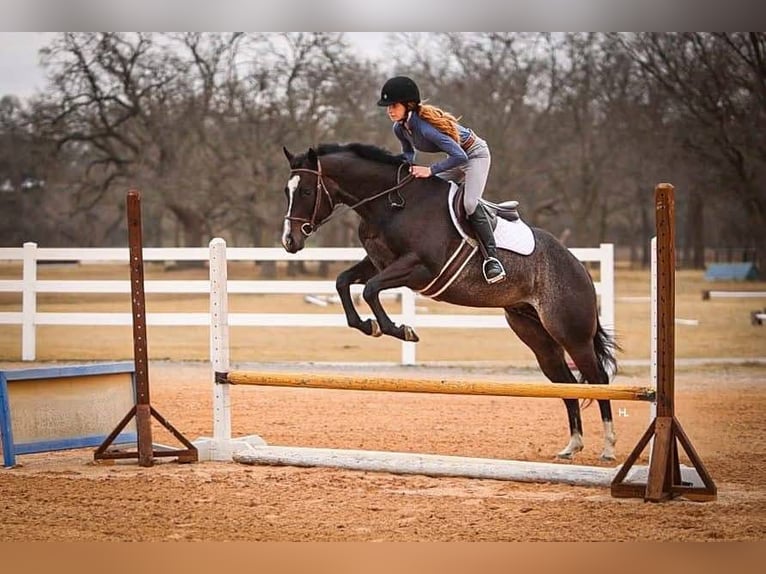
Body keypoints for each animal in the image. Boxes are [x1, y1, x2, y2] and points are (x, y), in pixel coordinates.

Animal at [280, 142, 619, 461]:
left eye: (307, 190)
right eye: (287, 191)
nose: (289, 241)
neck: (392, 205)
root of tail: (580, 267)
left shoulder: (419, 269)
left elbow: (370, 291)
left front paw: (400, 330)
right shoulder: (378, 264)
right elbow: (344, 283)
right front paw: (369, 325)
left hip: (571, 333)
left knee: (598, 378)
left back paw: (608, 447)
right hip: (536, 334)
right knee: (566, 382)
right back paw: (572, 445)